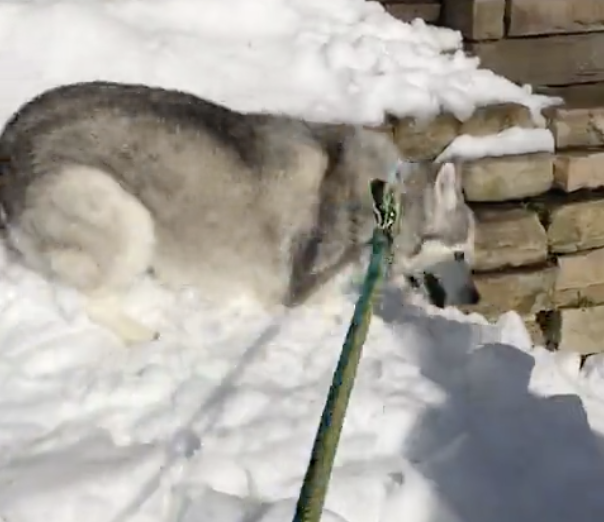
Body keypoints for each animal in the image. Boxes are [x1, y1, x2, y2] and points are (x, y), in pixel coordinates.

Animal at [0, 80, 482, 342]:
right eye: (461, 254)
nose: (476, 298)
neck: (387, 199)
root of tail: (10, 139)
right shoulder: (299, 290)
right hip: (125, 216)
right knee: (91, 301)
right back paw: (140, 332)